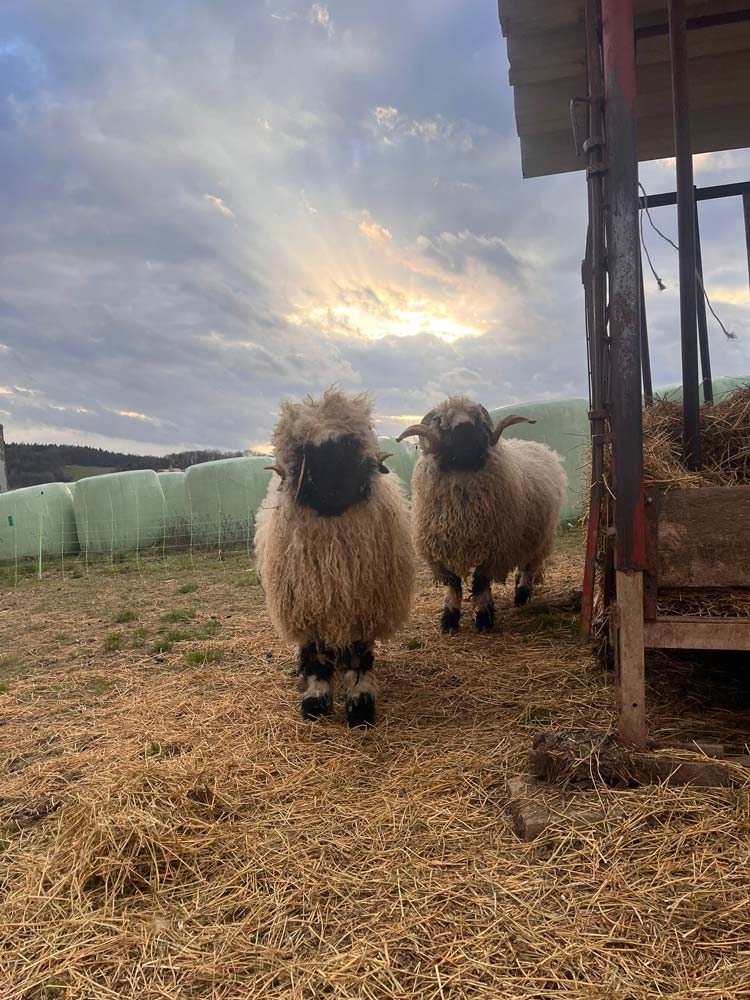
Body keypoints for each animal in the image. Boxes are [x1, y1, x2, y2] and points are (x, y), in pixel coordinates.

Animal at [254, 389, 415, 728]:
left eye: (349, 446)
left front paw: (360, 707)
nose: (334, 490)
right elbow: (315, 656)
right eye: (306, 451)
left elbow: (357, 656)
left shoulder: (362, 606)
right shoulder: (308, 606)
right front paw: (314, 703)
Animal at [398, 397, 566, 634]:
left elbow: (480, 583)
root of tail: (539, 447)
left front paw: (484, 618)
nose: (467, 439)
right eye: (441, 422)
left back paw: (521, 595)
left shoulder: (494, 549)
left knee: (529, 566)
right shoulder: (441, 550)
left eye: (478, 419)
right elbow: (453, 585)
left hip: (541, 536)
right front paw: (449, 620)